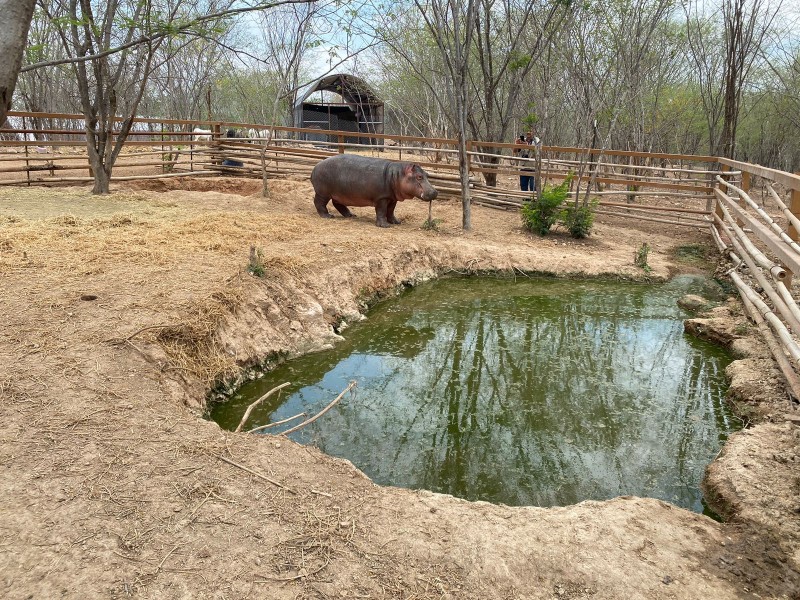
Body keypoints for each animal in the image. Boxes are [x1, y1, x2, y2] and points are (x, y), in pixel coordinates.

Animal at [310, 154, 438, 229]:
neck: (397, 175)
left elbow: (391, 211)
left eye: (427, 174)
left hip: (339, 194)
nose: (435, 192)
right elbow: (381, 211)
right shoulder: (381, 198)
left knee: (338, 204)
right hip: (323, 193)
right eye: (419, 177)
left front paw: (396, 222)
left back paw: (351, 215)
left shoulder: (392, 198)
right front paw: (385, 226)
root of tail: (316, 166)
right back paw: (328, 216)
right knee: (319, 203)